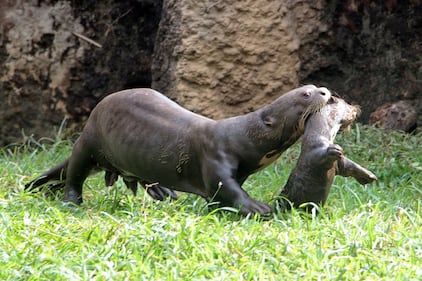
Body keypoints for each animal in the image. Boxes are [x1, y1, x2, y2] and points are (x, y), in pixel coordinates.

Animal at [25, 85, 332, 214]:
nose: (325, 91)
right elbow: (226, 187)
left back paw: (163, 191)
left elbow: (222, 194)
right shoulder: (215, 156)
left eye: (314, 86)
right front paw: (257, 207)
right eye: (306, 93)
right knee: (75, 173)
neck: (240, 137)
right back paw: (71, 202)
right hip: (89, 140)